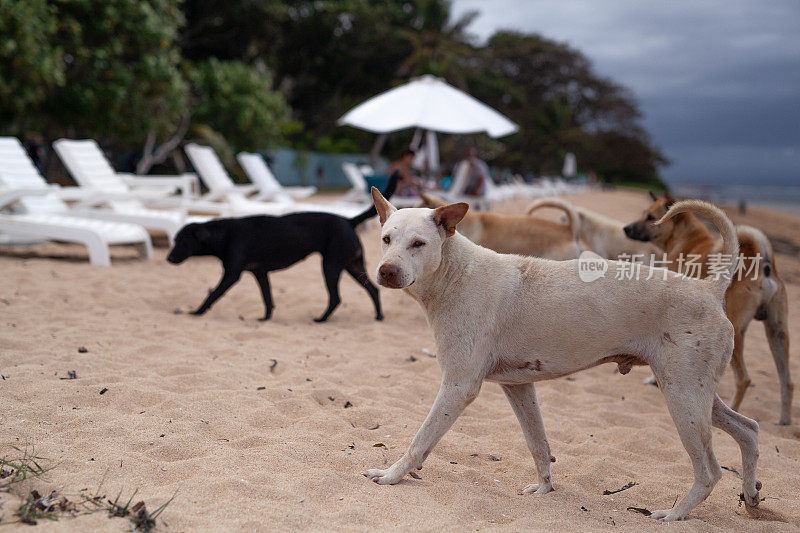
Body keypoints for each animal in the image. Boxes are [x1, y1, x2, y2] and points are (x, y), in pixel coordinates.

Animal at [167, 172, 398, 320]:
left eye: (182, 241)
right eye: (175, 240)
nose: (168, 258)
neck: (225, 234)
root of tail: (348, 221)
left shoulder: (232, 275)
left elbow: (212, 294)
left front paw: (197, 312)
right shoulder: (260, 273)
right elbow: (267, 298)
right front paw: (265, 318)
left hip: (331, 266)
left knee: (336, 298)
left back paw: (321, 319)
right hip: (353, 265)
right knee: (373, 290)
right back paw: (378, 317)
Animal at [624, 192, 792, 424]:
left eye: (650, 217)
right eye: (643, 213)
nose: (626, 228)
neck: (686, 238)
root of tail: (763, 265)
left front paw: (651, 378)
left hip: (737, 329)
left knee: (744, 379)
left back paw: (733, 410)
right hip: (778, 333)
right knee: (787, 382)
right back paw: (784, 420)